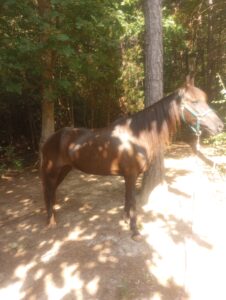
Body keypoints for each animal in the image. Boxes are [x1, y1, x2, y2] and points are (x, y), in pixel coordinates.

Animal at [41, 77, 224, 239]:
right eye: (194, 101)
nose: (220, 126)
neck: (136, 137)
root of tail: (51, 138)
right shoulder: (131, 174)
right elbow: (133, 201)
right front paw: (135, 231)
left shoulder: (128, 176)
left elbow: (128, 199)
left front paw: (125, 219)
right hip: (53, 170)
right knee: (49, 190)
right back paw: (50, 221)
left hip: (64, 170)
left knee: (52, 190)